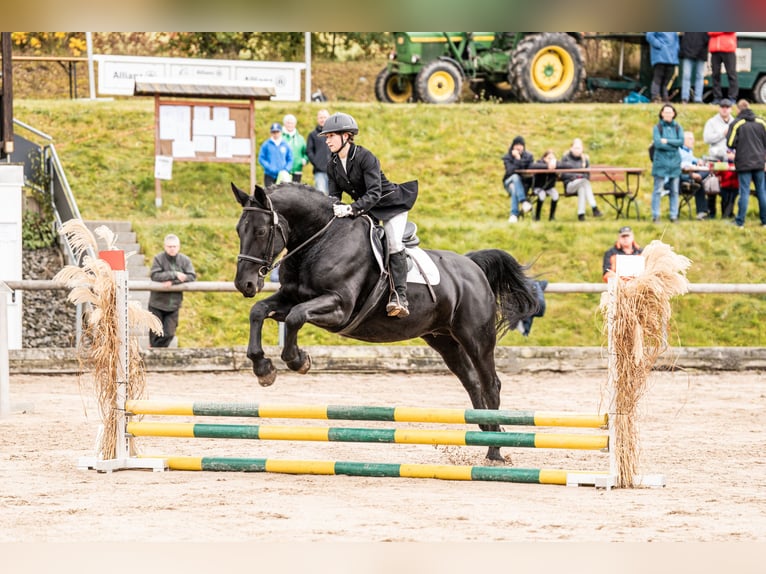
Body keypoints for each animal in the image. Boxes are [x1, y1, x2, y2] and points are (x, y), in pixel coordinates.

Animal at [232, 182, 539, 461]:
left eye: (261, 231)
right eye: (238, 230)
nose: (245, 284)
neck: (321, 240)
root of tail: (472, 266)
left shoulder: (339, 308)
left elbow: (296, 317)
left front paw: (298, 360)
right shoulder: (290, 297)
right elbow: (258, 311)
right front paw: (263, 368)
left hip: (476, 337)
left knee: (491, 385)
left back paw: (495, 450)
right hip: (443, 339)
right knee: (472, 382)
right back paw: (486, 433)